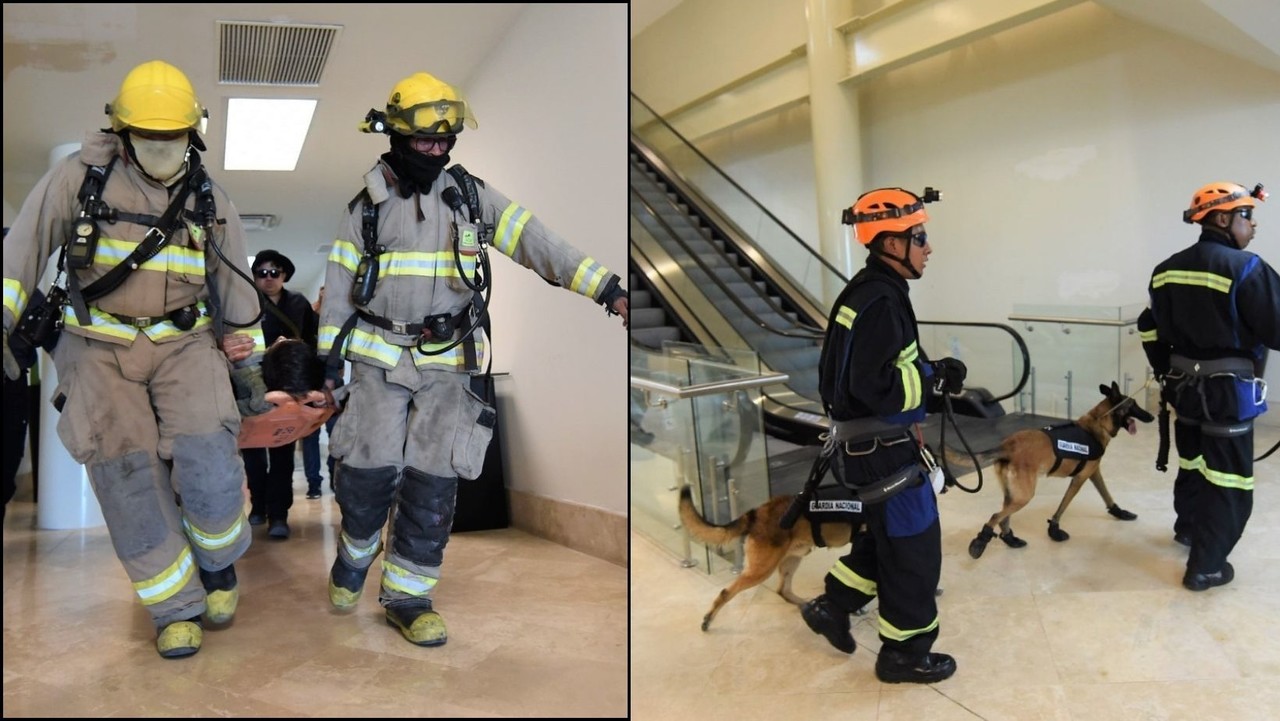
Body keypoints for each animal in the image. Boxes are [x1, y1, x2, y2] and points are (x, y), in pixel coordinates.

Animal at [670, 484, 860, 632]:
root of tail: (757, 513)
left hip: (792, 560)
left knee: (783, 591)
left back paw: (808, 607)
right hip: (762, 570)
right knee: (727, 592)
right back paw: (709, 619)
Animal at [962, 384, 1157, 558]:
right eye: (1133, 404)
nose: (1152, 417)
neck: (1097, 423)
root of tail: (1007, 446)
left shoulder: (1094, 473)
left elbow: (1106, 494)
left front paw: (1119, 512)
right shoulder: (1079, 479)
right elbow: (1063, 505)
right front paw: (1054, 529)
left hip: (1013, 495)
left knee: (1003, 517)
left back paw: (1011, 540)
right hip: (1024, 496)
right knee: (997, 515)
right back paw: (981, 541)